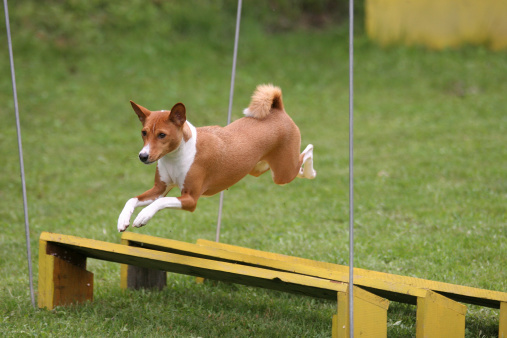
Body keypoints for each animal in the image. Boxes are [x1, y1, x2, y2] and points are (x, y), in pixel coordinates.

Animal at [119, 84, 318, 232]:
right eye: (144, 133)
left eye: (162, 135)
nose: (143, 156)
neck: (176, 156)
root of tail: (278, 109)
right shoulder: (159, 188)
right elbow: (132, 199)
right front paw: (122, 220)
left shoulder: (191, 198)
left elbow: (161, 202)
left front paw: (143, 216)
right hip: (259, 168)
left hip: (283, 173)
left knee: (307, 152)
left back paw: (312, 171)